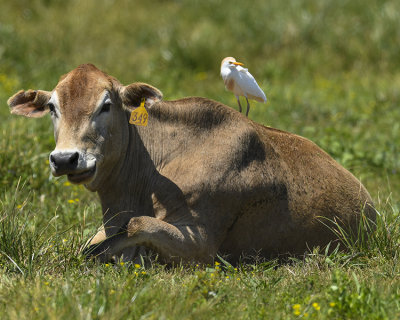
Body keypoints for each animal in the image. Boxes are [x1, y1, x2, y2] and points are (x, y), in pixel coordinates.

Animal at [6, 63, 376, 264]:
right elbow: (91, 244)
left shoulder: (200, 244)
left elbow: (134, 228)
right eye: (52, 107)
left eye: (106, 105)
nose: (65, 158)